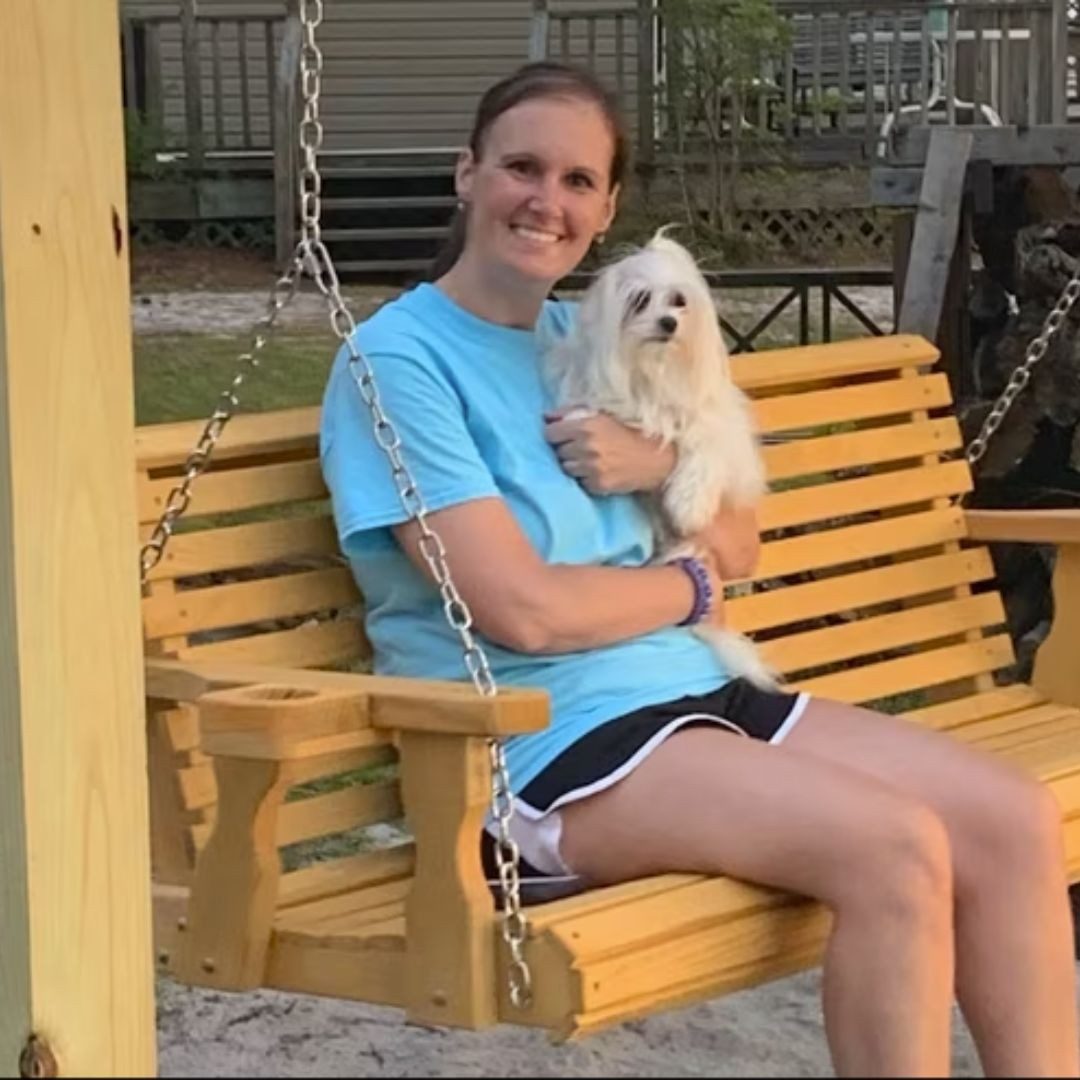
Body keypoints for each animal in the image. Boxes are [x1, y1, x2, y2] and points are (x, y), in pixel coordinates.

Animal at [548, 228, 777, 686]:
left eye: (679, 301)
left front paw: (688, 506)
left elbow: (701, 453)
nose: (669, 323)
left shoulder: (714, 430)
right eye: (640, 300)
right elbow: (589, 410)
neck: (651, 375)